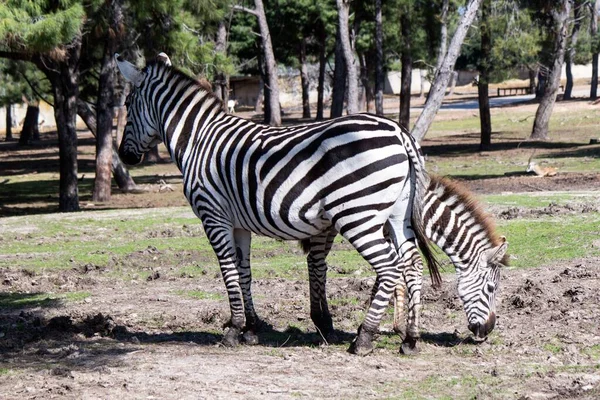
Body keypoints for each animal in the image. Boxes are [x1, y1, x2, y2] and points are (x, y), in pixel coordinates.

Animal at [115, 51, 436, 354]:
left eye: (128, 104)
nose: (123, 156)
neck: (198, 140)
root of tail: (399, 131)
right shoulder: (239, 224)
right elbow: (244, 272)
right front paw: (251, 329)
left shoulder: (213, 216)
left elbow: (228, 271)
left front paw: (233, 330)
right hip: (397, 215)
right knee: (412, 264)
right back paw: (410, 339)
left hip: (357, 215)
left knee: (389, 266)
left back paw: (364, 338)